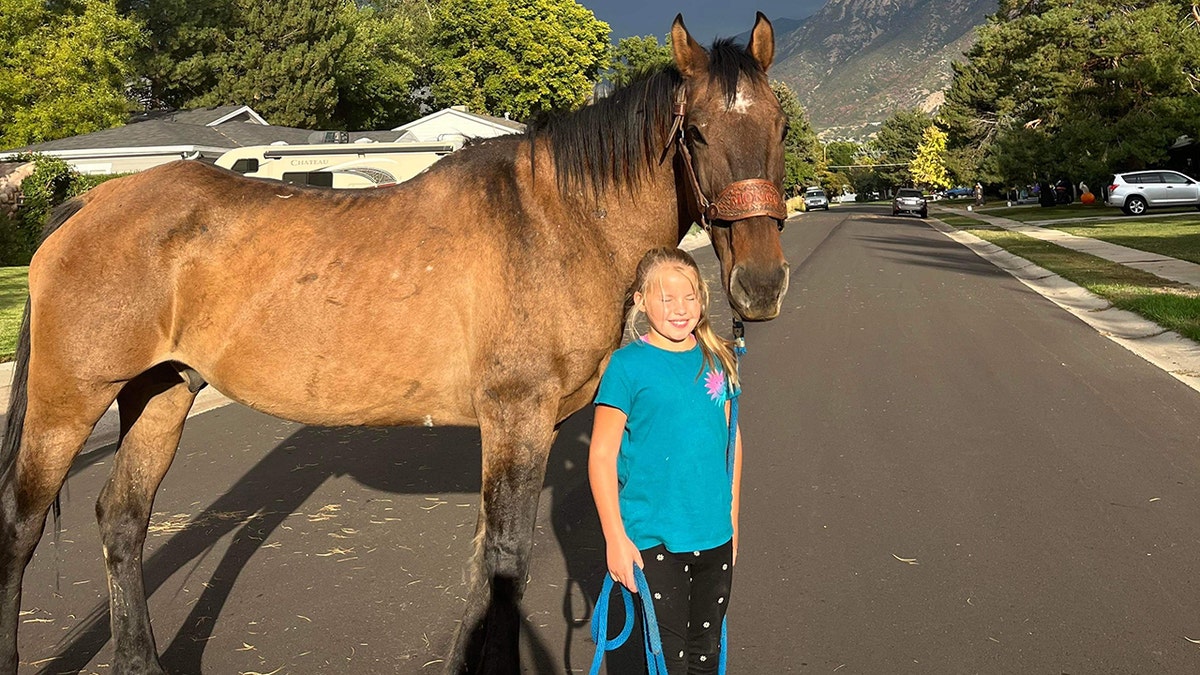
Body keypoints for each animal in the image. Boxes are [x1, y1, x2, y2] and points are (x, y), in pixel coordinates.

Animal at [0, 11, 787, 672]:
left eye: (779, 128)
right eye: (696, 133)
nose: (759, 283)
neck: (555, 222)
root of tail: (91, 200)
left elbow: (487, 561)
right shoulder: (517, 416)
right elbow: (506, 559)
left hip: (160, 393)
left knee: (122, 520)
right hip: (68, 402)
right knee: (19, 526)